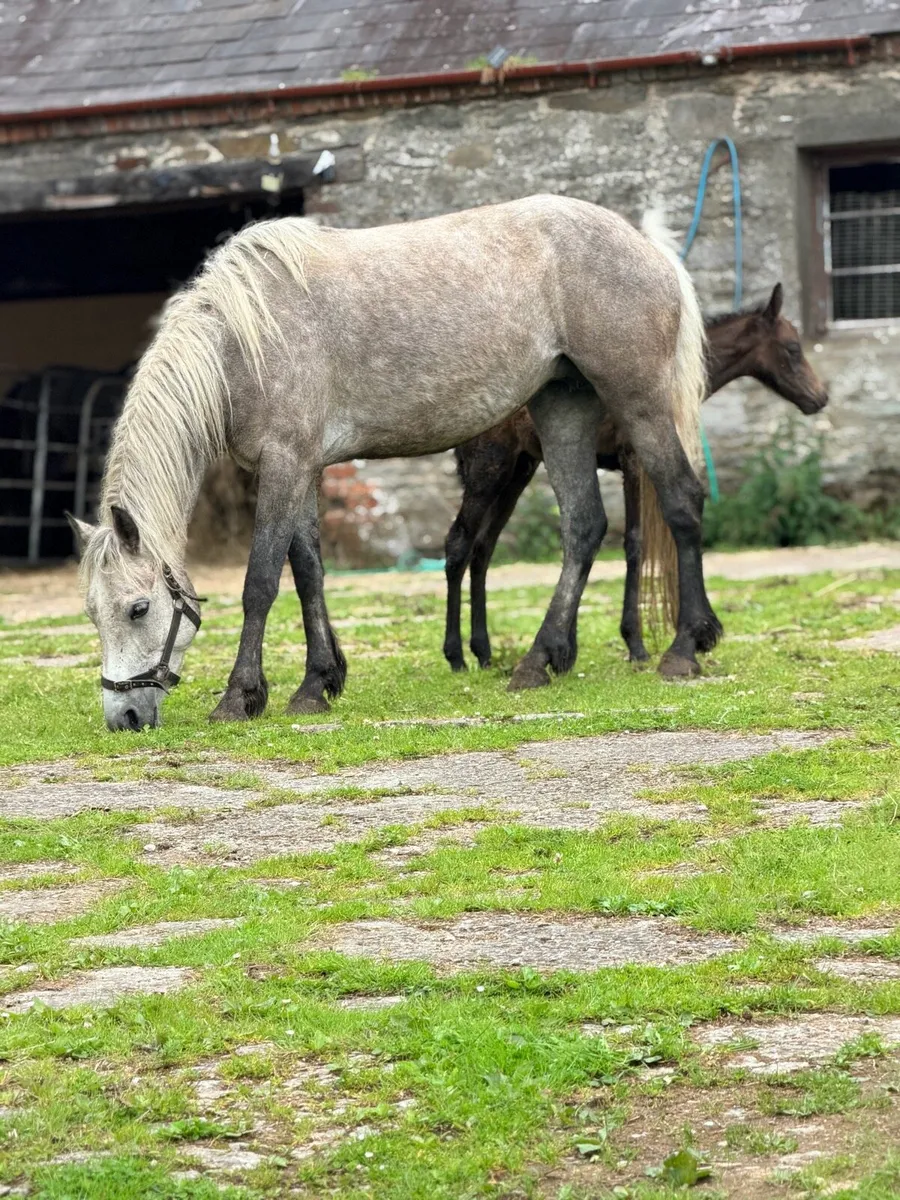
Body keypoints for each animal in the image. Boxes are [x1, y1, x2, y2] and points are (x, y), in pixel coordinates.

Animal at [68, 194, 716, 731]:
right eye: (92, 614)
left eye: (138, 608)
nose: (124, 717)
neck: (243, 339)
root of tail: (645, 246)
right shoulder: (301, 468)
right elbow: (308, 572)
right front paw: (318, 683)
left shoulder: (284, 464)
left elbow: (261, 583)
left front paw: (241, 697)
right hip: (563, 406)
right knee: (583, 526)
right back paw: (538, 660)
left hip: (638, 400)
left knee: (681, 501)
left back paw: (684, 647)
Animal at [442, 283, 829, 673]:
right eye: (792, 348)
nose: (820, 397)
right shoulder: (633, 461)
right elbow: (634, 543)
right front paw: (635, 644)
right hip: (489, 469)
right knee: (459, 542)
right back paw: (457, 655)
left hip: (519, 471)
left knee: (483, 547)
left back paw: (484, 651)